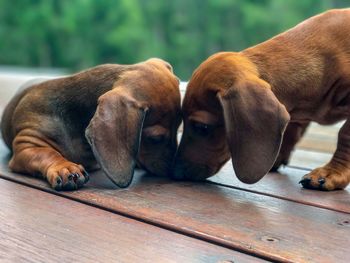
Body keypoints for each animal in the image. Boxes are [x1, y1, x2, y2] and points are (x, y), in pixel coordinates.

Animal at [2, 58, 182, 191]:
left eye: (179, 125)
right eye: (156, 139)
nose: (173, 170)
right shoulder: (26, 144)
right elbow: (46, 153)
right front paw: (65, 167)